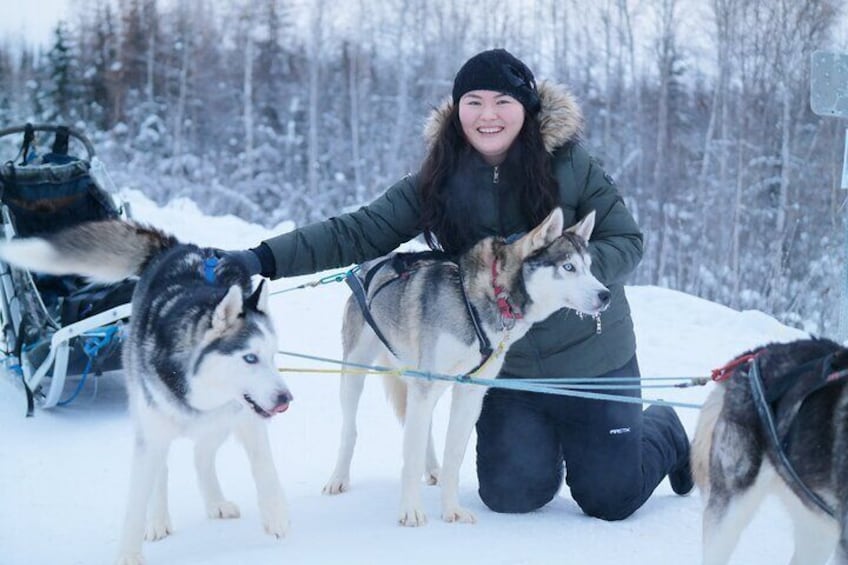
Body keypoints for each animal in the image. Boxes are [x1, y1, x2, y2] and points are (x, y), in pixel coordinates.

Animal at [0, 219, 292, 564]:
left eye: (273, 355)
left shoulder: (245, 419)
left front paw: (276, 514)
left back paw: (215, 501)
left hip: (218, 423)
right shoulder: (152, 438)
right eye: (249, 357)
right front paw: (129, 553)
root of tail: (179, 248)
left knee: (201, 455)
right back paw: (158, 520)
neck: (198, 389)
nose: (286, 399)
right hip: (148, 421)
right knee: (162, 470)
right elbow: (136, 502)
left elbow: (265, 468)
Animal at [322, 209, 608, 528]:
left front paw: (451, 509)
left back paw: (432, 468)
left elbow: (453, 456)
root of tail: (367, 267)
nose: (605, 295)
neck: (484, 299)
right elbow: (410, 458)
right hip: (357, 372)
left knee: (422, 429)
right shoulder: (426, 384)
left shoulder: (469, 393)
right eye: (568, 267)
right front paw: (410, 510)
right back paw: (339, 478)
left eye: (589, 267)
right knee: (352, 429)